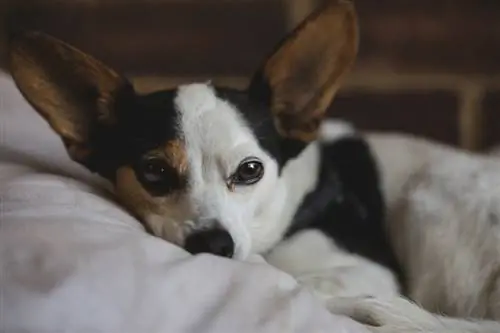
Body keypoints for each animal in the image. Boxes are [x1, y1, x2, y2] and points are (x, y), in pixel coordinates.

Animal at [8, 0, 500, 332]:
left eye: (249, 171)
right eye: (154, 172)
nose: (213, 244)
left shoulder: (367, 270)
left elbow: (303, 282)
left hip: (429, 202)